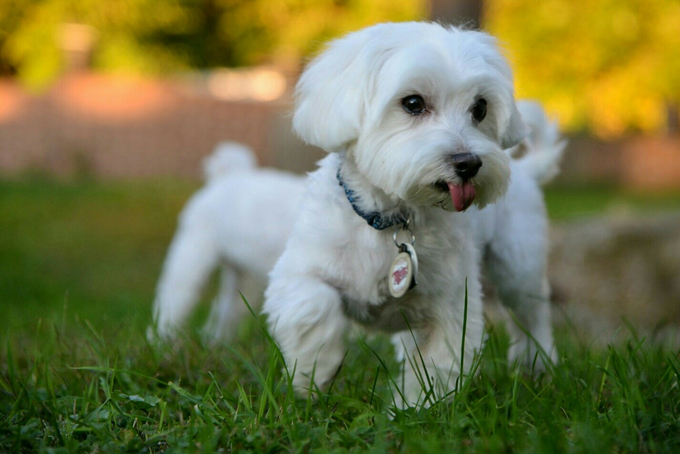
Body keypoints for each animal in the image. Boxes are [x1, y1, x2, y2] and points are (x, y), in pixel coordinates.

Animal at [260, 22, 564, 408]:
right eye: (413, 103)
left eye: (480, 108)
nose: (469, 163)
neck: (392, 219)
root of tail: (526, 169)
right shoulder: (297, 271)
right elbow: (312, 305)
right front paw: (315, 372)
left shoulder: (454, 306)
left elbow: (438, 365)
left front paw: (413, 409)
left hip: (518, 266)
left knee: (532, 315)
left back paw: (537, 367)